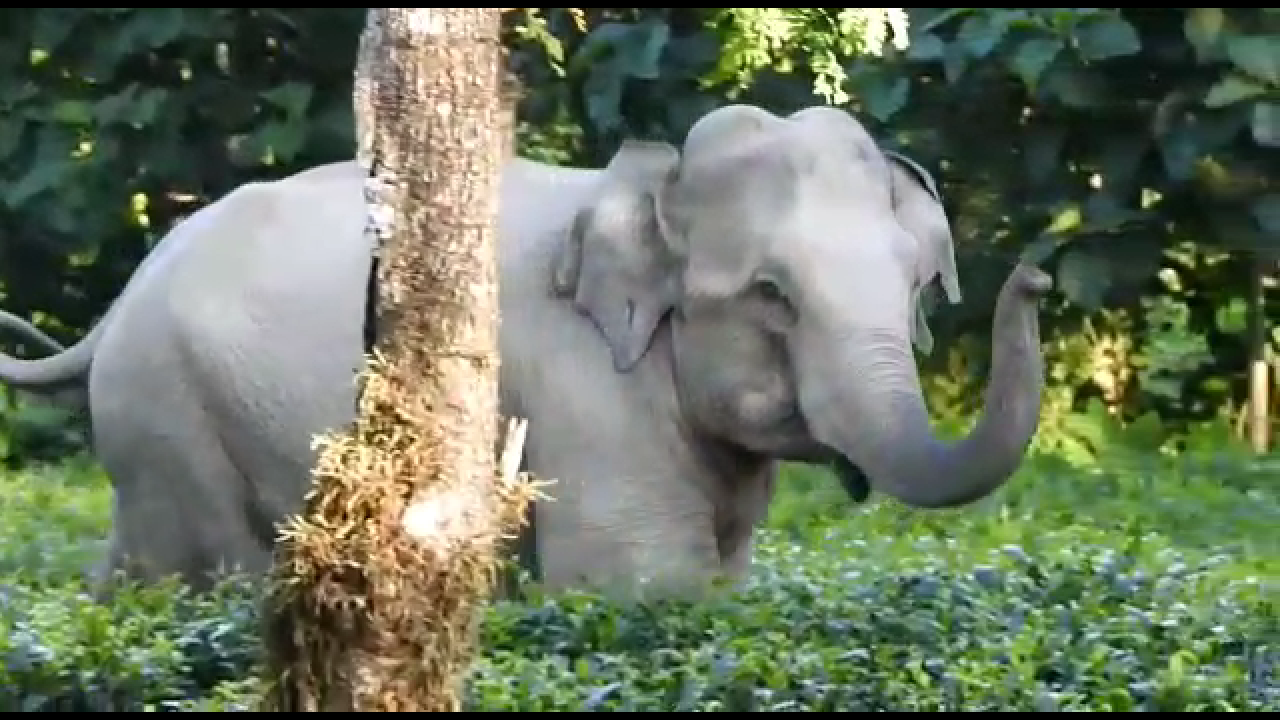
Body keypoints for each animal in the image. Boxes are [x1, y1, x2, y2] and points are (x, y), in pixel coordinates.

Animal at [0, 102, 1049, 599]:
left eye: (916, 285)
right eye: (771, 295)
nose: (1037, 277)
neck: (646, 185)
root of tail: (121, 300)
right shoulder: (585, 392)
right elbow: (639, 585)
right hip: (170, 411)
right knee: (211, 566)